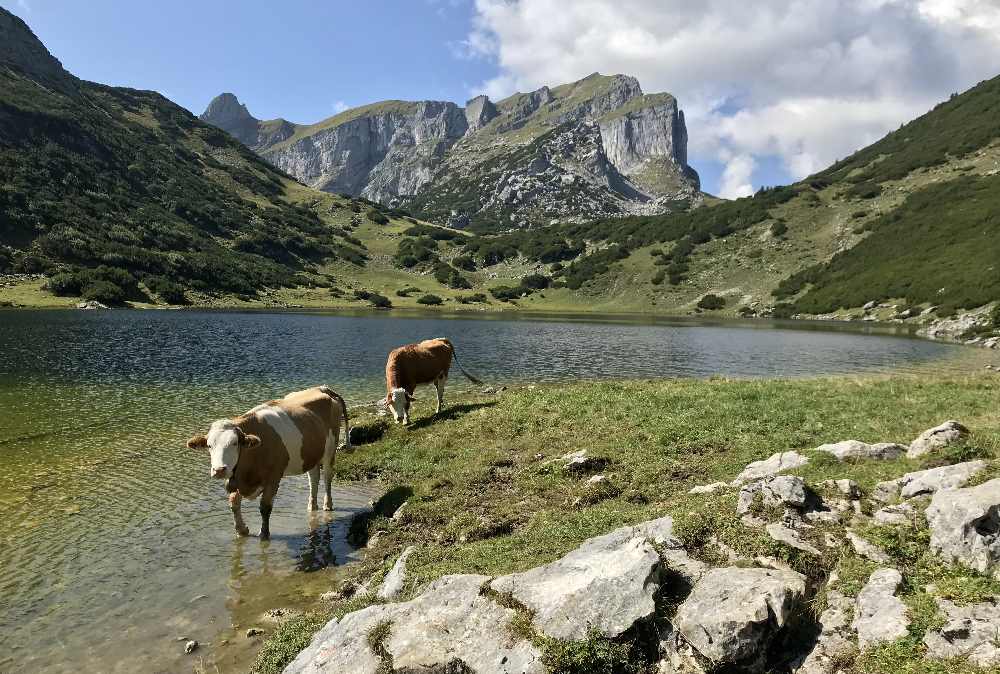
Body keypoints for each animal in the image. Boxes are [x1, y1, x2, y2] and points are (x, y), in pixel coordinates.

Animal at [186, 386, 354, 540]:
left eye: (235, 443)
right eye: (209, 445)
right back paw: (312, 506)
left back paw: (328, 505)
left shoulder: (274, 477)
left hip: (330, 449)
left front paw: (264, 534)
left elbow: (265, 507)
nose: (219, 470)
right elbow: (234, 503)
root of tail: (322, 388)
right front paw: (242, 530)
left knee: (327, 477)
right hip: (310, 454)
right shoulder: (236, 477)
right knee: (313, 478)